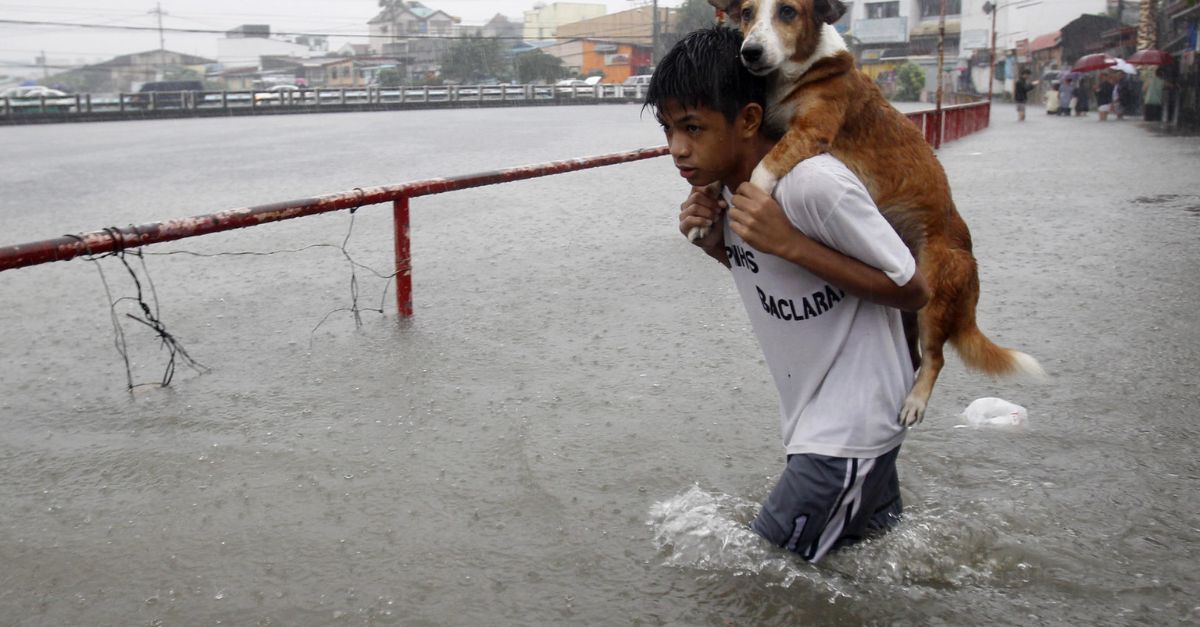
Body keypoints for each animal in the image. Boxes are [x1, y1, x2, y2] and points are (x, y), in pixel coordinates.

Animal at [700, 0, 1041, 425]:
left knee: (936, 358)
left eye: (788, 12)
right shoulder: (768, 126)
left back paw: (915, 402)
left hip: (933, 298)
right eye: (746, 12)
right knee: (916, 354)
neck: (797, 74)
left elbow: (763, 167)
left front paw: (752, 198)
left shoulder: (810, 131)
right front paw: (703, 209)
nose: (750, 52)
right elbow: (722, 169)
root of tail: (970, 260)